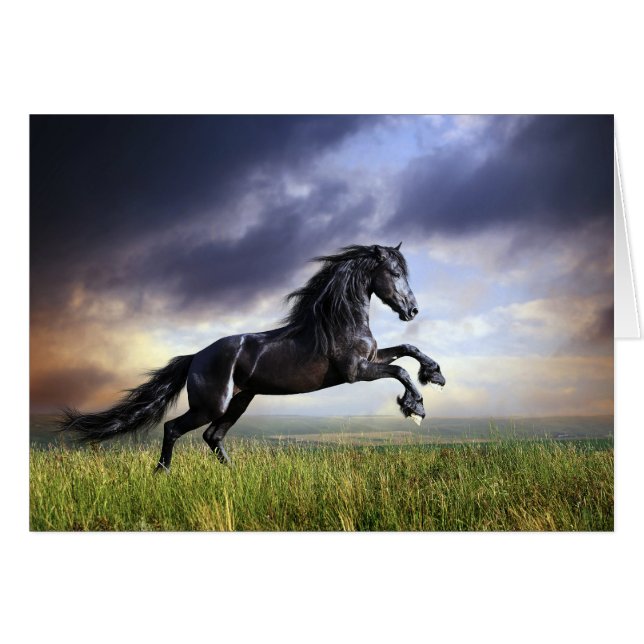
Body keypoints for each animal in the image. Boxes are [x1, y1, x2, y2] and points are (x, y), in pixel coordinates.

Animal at [59, 243, 446, 471]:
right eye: (394, 273)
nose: (412, 311)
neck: (338, 322)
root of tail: (195, 357)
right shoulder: (355, 371)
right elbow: (400, 370)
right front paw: (415, 408)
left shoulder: (371, 357)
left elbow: (407, 351)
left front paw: (435, 375)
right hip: (212, 404)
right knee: (175, 428)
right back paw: (162, 472)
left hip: (240, 400)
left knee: (213, 437)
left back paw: (232, 474)